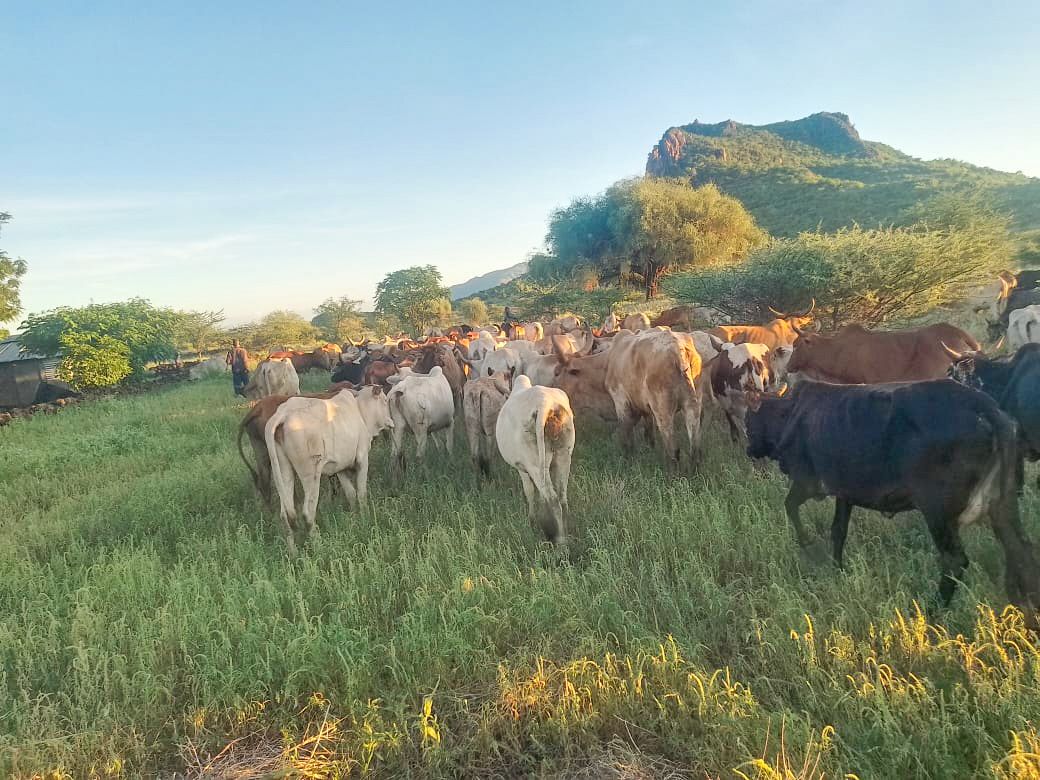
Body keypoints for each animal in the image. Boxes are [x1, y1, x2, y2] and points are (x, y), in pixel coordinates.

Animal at [264, 386, 394, 555]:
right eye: (385, 400)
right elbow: (361, 494)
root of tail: (283, 414)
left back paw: (293, 553)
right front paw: (365, 519)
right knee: (308, 513)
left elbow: (351, 494)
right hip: (311, 474)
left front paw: (354, 518)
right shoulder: (362, 459)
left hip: (284, 471)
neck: (360, 411)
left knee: (285, 515)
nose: (391, 422)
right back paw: (319, 547)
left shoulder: (340, 468)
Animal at [496, 375, 576, 545]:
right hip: (564, 455)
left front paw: (531, 520)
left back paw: (560, 542)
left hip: (535, 464)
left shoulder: (522, 468)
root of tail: (546, 404)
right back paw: (565, 535)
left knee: (553, 500)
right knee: (562, 498)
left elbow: (530, 492)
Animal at [554, 329, 702, 467]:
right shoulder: (646, 410)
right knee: (695, 448)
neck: (607, 363)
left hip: (663, 411)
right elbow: (649, 435)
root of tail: (678, 350)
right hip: (692, 406)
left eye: (558, 372)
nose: (556, 388)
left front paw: (628, 460)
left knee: (673, 450)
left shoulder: (621, 402)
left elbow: (626, 436)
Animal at [746, 379, 1040, 626]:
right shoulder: (844, 493)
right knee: (1021, 550)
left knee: (954, 560)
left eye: (749, 420)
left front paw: (807, 544)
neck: (791, 413)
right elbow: (838, 531)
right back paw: (1029, 611)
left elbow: (790, 506)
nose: (749, 449)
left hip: (937, 512)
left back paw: (931, 612)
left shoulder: (808, 483)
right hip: (1002, 506)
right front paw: (836, 568)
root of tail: (988, 409)